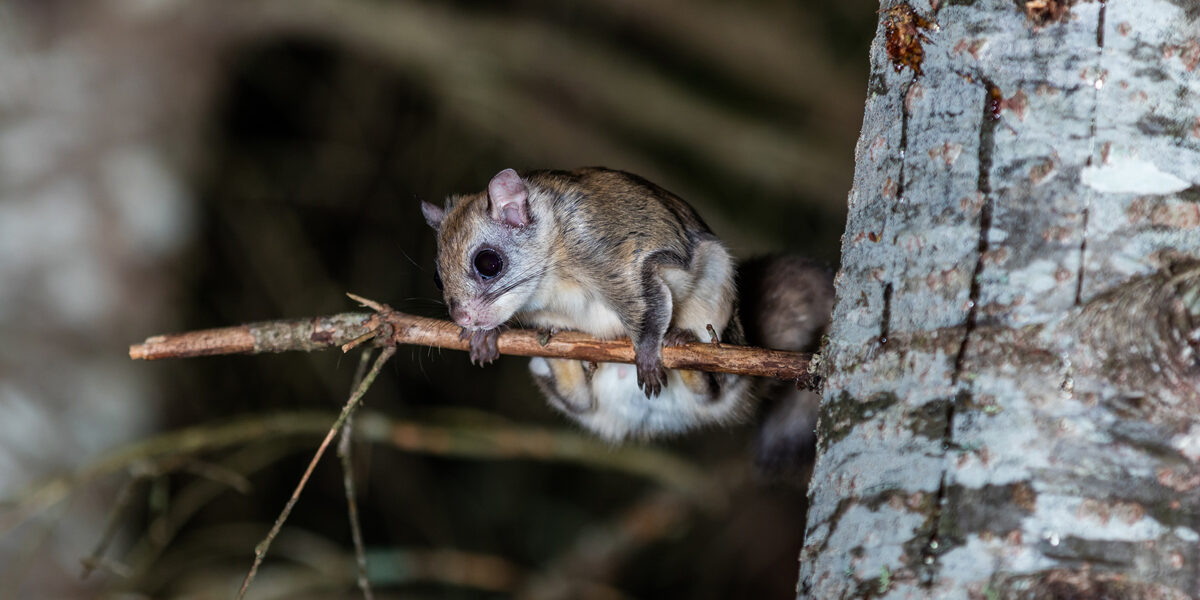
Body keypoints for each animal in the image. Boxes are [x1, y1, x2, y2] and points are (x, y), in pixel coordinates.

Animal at [421, 167, 833, 454]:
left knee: (715, 389)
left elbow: (647, 305)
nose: (462, 318)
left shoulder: (616, 260)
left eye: (488, 263)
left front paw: (648, 352)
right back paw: (560, 360)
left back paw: (684, 346)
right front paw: (484, 337)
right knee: (578, 399)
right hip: (581, 401)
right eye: (438, 278)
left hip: (718, 302)